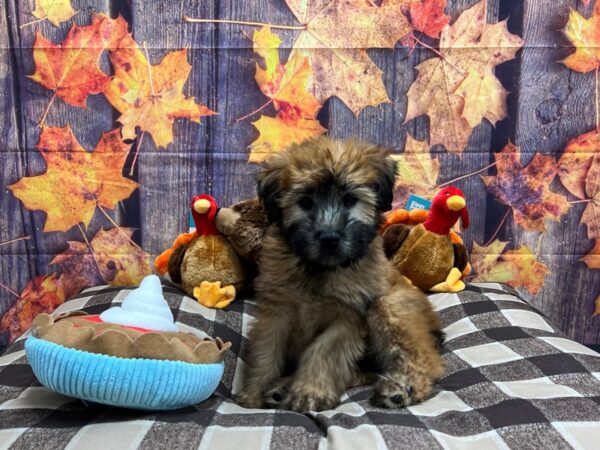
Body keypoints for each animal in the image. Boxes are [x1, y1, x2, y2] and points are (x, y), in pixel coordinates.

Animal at [237, 136, 442, 412]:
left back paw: (402, 388)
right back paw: (282, 387)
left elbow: (323, 351)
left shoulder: (348, 315)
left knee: (425, 359)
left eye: (349, 200)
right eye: (305, 202)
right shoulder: (277, 309)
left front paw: (309, 393)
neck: (319, 269)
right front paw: (253, 394)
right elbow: (266, 349)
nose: (329, 238)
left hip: (389, 305)